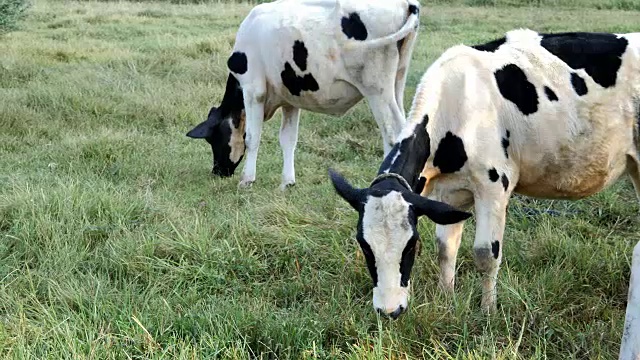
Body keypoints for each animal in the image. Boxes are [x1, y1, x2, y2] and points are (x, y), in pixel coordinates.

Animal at [188, 0, 422, 191]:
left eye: (213, 139)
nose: (218, 171)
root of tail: (406, 3)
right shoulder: (290, 99)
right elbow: (288, 139)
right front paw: (287, 182)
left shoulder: (254, 90)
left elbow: (252, 137)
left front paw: (247, 180)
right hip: (396, 83)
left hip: (376, 89)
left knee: (392, 135)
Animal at [330, 28, 640, 326]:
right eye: (364, 246)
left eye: (411, 246)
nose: (389, 310)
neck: (456, 103)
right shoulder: (447, 194)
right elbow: (446, 247)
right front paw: (446, 297)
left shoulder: (493, 186)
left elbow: (485, 254)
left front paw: (488, 312)